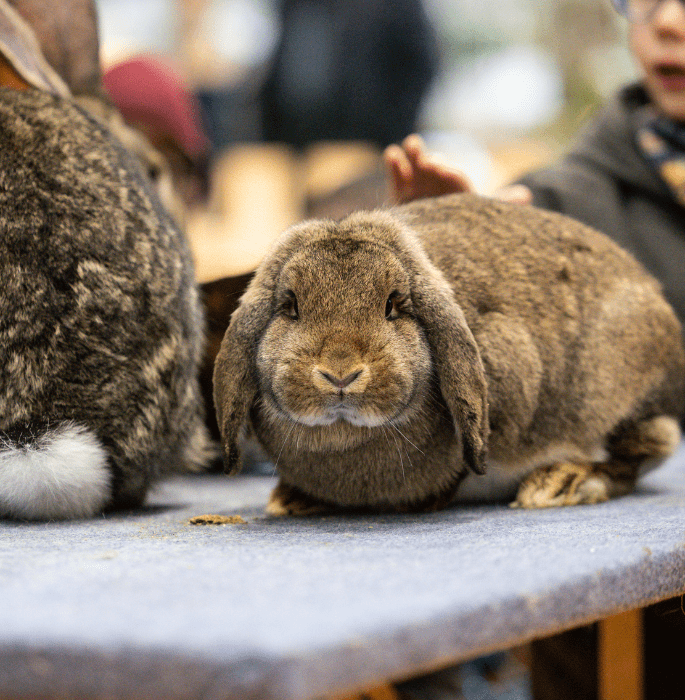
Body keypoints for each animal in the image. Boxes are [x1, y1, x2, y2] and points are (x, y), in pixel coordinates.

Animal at [214, 191, 684, 516]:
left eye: (393, 304)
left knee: (648, 446)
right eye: (290, 306)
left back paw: (560, 483)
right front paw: (290, 500)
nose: (340, 374)